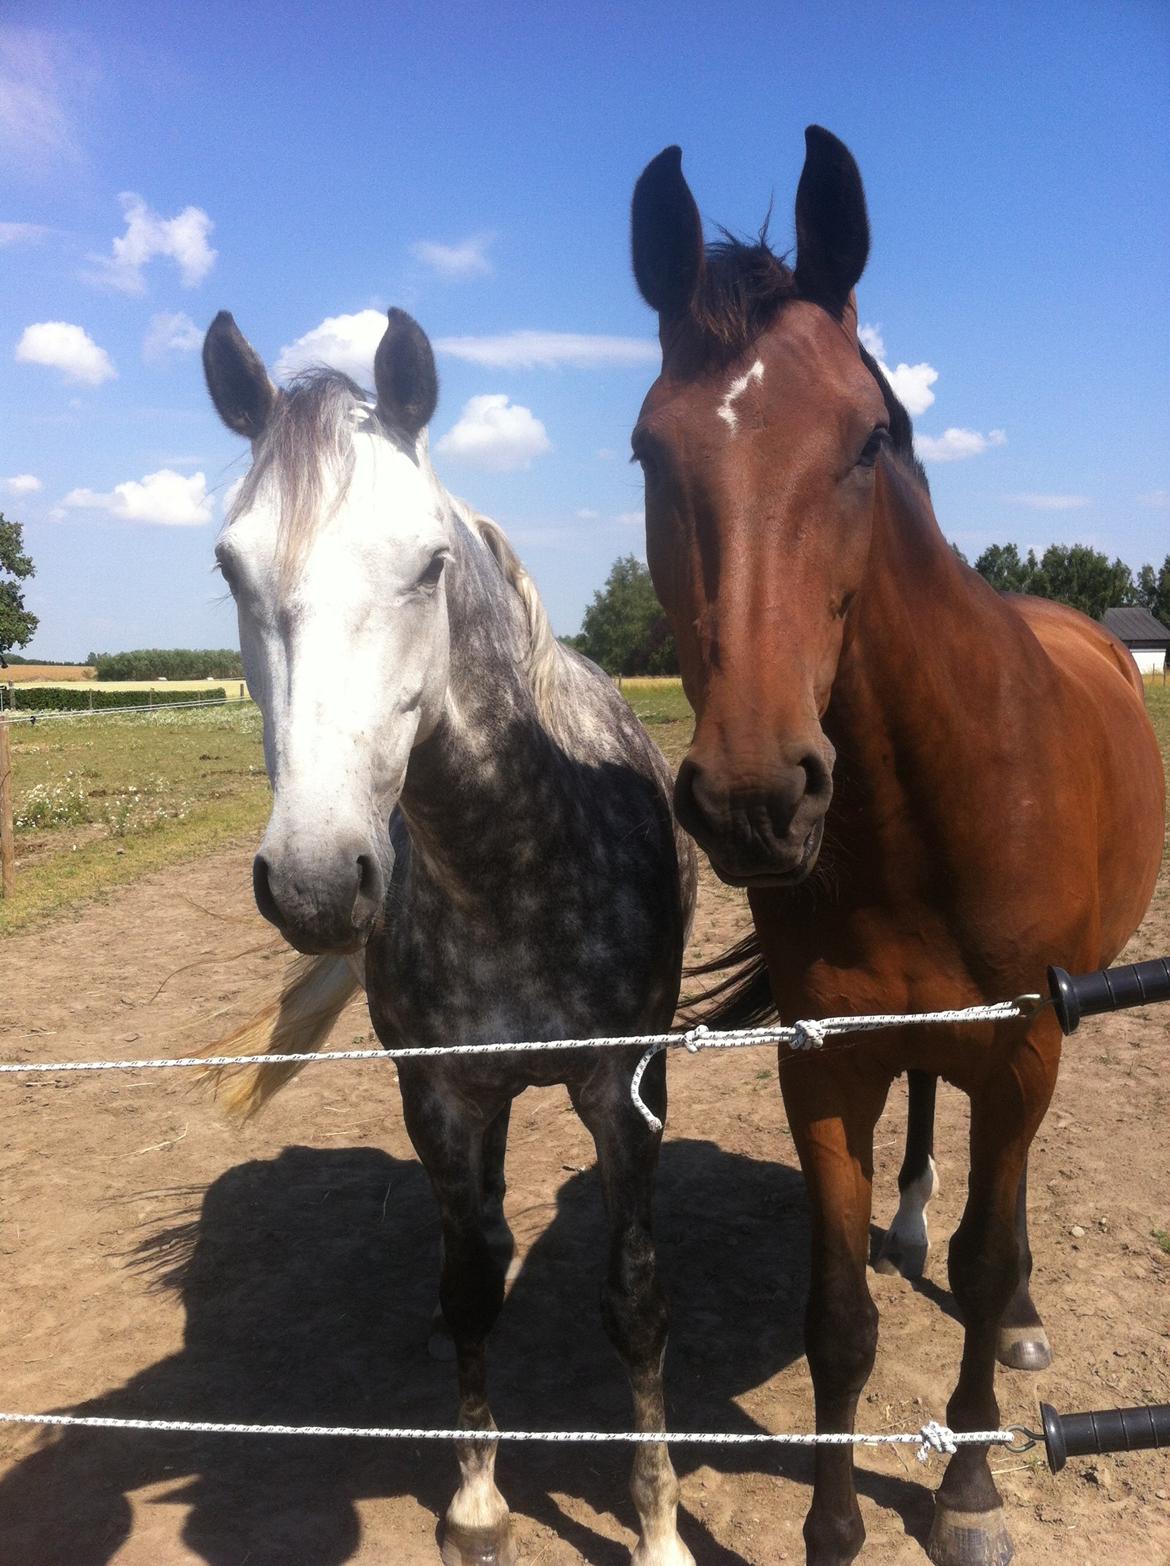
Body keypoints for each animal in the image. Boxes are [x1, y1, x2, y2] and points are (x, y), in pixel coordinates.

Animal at [635, 125, 1165, 1566]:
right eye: (647, 453)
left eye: (867, 439)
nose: (755, 794)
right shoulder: (823, 1065)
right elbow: (835, 1319)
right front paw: (831, 1525)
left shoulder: (1024, 1041)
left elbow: (982, 1267)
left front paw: (969, 1487)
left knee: (1004, 1204)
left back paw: (1020, 1310)